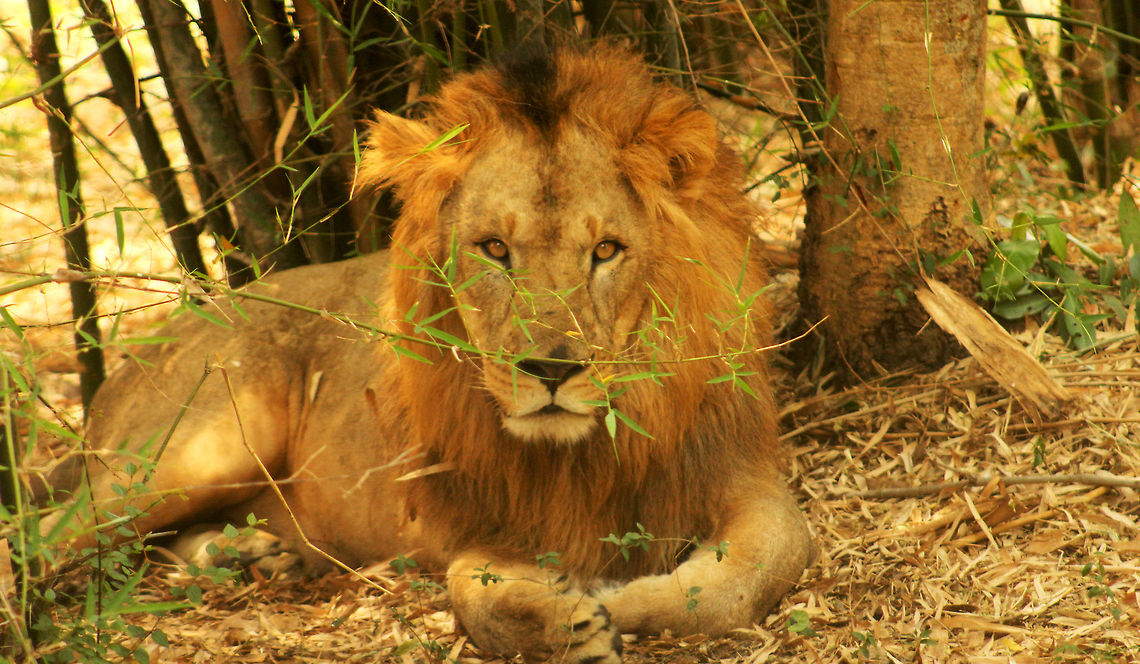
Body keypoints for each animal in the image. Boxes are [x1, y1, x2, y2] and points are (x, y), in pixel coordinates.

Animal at [63, 44, 814, 662]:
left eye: (605, 250)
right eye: (494, 249)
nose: (551, 372)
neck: (590, 445)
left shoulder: (741, 472)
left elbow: (747, 576)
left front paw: (620, 598)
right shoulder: (486, 525)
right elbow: (473, 591)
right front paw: (570, 620)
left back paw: (251, 554)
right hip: (194, 450)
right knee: (65, 532)